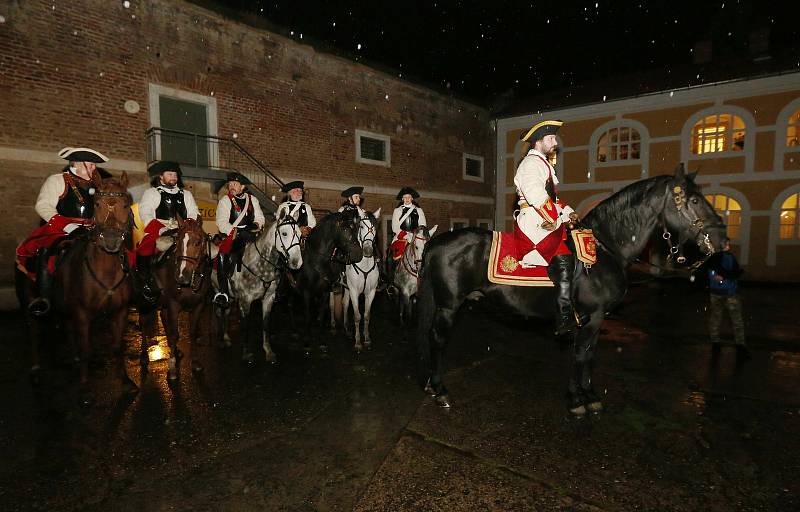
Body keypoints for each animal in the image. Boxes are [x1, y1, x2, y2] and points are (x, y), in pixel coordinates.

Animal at [141, 216, 216, 380]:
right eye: (178, 242)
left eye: (198, 242)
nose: (182, 276)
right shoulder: (174, 305)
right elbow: (175, 334)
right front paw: (172, 368)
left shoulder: (198, 305)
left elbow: (192, 332)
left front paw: (195, 362)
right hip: (145, 303)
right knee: (143, 323)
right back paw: (144, 355)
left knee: (163, 318)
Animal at [216, 212, 304, 364]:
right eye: (284, 233)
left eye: (299, 234)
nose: (296, 262)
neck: (261, 265)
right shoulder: (245, 300)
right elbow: (246, 325)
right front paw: (246, 352)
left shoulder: (269, 298)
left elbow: (266, 324)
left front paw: (268, 351)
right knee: (220, 311)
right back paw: (222, 339)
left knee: (225, 312)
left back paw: (226, 337)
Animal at [288, 210, 362, 350]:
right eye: (345, 229)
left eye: (356, 229)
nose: (358, 255)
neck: (317, 260)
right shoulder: (306, 293)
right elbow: (307, 316)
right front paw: (307, 341)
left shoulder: (325, 292)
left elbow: (321, 315)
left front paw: (322, 341)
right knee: (290, 305)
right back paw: (294, 331)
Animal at [340, 208, 382, 352]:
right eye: (362, 226)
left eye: (374, 227)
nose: (368, 250)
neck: (364, 264)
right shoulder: (354, 292)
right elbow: (357, 316)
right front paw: (358, 342)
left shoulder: (371, 292)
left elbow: (367, 315)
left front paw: (367, 339)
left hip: (347, 288)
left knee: (345, 303)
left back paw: (346, 329)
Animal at [416, 164, 728, 416]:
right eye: (695, 199)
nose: (722, 238)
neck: (606, 249)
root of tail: (437, 241)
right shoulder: (593, 316)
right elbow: (582, 355)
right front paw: (579, 400)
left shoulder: (593, 319)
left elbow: (587, 355)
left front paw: (586, 394)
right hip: (449, 306)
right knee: (437, 339)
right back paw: (439, 390)